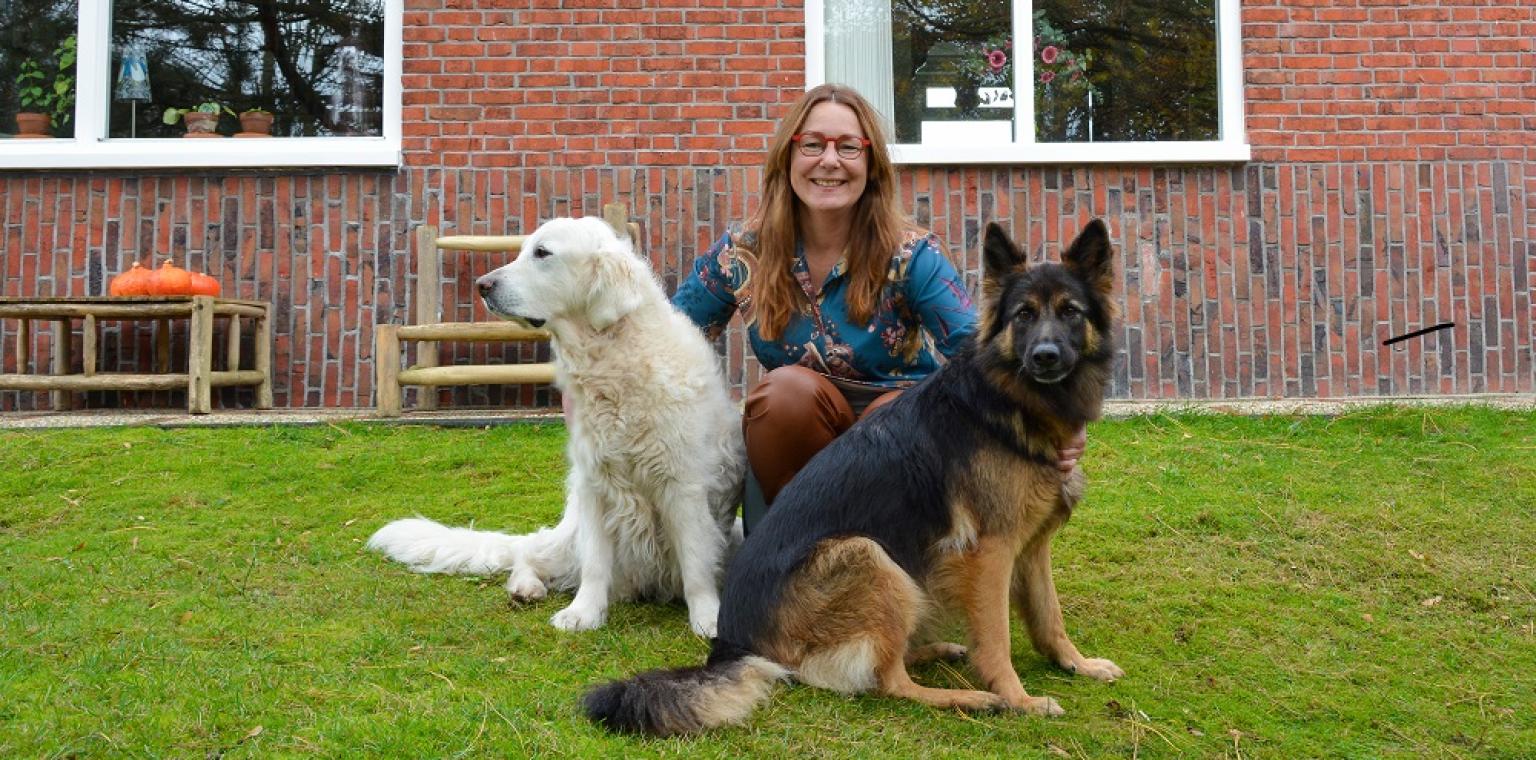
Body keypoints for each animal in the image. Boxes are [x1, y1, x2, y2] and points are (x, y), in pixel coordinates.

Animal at [365, 214, 737, 635]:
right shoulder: (595, 485)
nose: (482, 285)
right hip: (567, 536)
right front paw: (584, 613)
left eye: (543, 253)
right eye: (523, 249)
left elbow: (696, 562)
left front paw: (707, 617)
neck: (612, 362)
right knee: (529, 553)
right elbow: (595, 564)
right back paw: (526, 587)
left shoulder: (683, 486)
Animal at [580, 219, 1124, 736]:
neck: (1006, 400)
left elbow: (1049, 617)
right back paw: (965, 697)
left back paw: (933, 652)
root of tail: (731, 643)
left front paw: (1076, 664)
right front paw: (1018, 699)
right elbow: (996, 639)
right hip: (870, 556)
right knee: (887, 682)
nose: (1045, 356)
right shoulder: (990, 554)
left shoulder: (1032, 546)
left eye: (1071, 312)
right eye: (1023, 315)